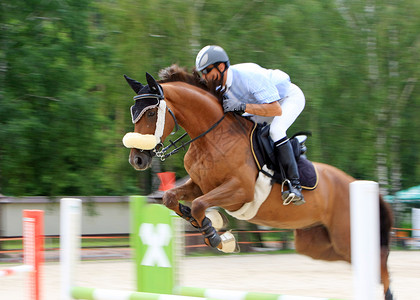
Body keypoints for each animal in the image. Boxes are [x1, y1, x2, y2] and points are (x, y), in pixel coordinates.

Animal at [120, 64, 394, 298]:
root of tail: (353, 182)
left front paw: (218, 236)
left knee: (376, 257)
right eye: (134, 112)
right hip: (317, 243)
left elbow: (199, 205)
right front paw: (211, 224)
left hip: (345, 235)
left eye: (152, 112)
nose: (137, 160)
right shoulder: (199, 185)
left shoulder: (240, 191)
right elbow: (171, 198)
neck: (211, 138)